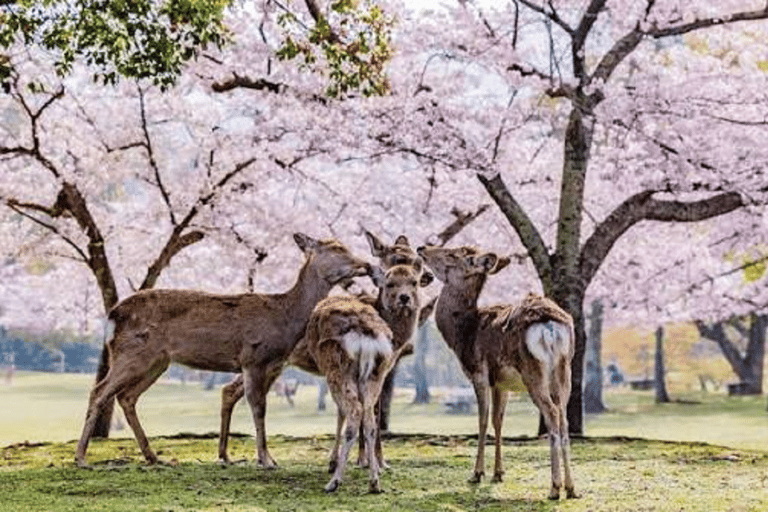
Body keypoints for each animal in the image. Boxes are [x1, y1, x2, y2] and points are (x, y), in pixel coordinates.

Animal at [75, 233, 371, 468]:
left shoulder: (272, 364)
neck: (284, 318)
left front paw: (264, 457)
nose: (366, 264)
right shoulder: (253, 358)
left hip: (157, 361)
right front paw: (266, 460)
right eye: (336, 247)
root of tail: (111, 316)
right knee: (99, 391)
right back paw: (81, 457)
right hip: (131, 353)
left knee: (127, 396)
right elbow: (258, 407)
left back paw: (153, 456)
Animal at [416, 244, 578, 500]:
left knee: (552, 413)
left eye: (452, 254)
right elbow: (498, 420)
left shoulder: (479, 373)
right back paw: (571, 488)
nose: (422, 248)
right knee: (563, 417)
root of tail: (551, 326)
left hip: (533, 371)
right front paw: (498, 473)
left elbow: (482, 420)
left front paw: (477, 474)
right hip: (564, 370)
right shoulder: (502, 383)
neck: (463, 334)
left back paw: (554, 488)